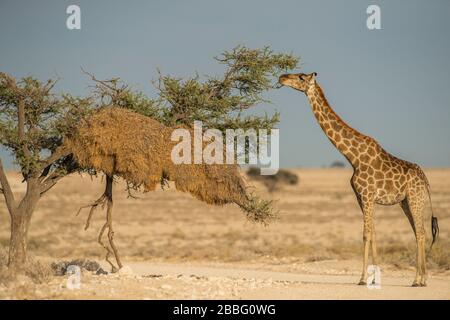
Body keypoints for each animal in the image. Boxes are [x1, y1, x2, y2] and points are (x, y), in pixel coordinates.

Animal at [278, 72, 440, 288]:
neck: (353, 157)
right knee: (418, 233)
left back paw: (417, 280)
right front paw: (374, 278)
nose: (281, 77)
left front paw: (363, 279)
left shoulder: (367, 195)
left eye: (301, 77)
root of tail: (426, 181)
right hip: (405, 202)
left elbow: (365, 234)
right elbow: (373, 234)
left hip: (415, 198)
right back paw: (423, 279)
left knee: (421, 233)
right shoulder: (361, 197)